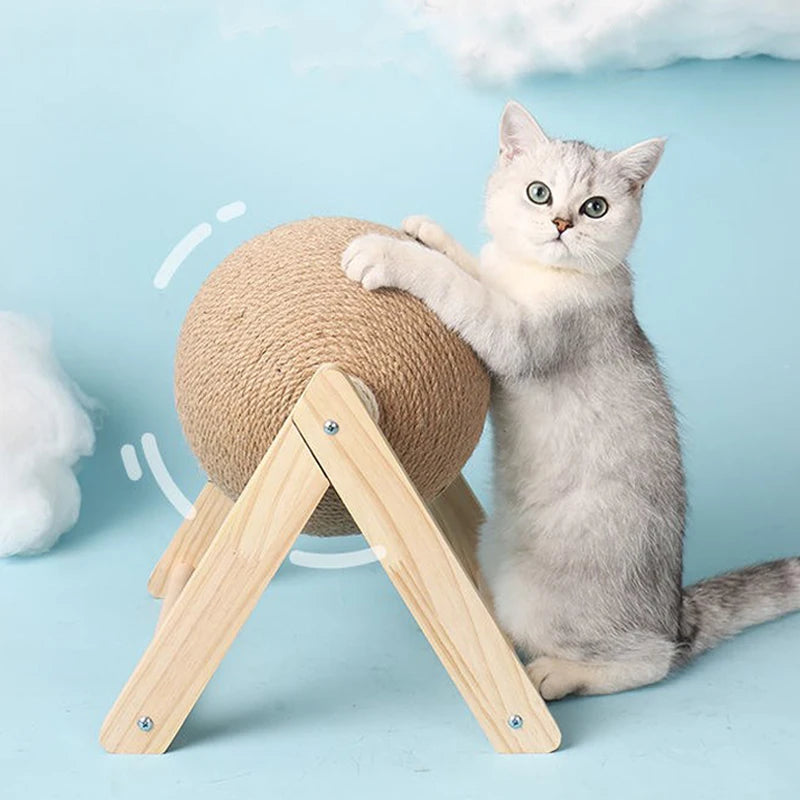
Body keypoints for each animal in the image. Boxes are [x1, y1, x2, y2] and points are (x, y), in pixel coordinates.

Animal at [340, 101, 800, 700]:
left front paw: (388, 253)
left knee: (651, 660)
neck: (537, 275)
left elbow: (456, 286)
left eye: (595, 207)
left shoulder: (518, 337)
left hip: (546, 604)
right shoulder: (500, 283)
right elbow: (474, 268)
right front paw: (427, 232)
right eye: (539, 193)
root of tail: (676, 612)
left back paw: (555, 675)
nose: (562, 224)